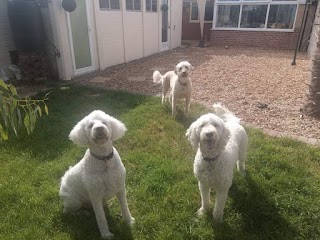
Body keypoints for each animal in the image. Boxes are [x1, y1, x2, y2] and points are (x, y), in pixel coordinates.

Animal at [59, 110, 134, 238]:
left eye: (104, 122)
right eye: (90, 125)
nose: (99, 128)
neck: (104, 159)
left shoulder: (120, 188)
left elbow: (125, 207)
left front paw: (129, 222)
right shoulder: (95, 196)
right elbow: (101, 217)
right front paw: (106, 235)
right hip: (74, 201)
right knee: (67, 211)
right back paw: (82, 213)